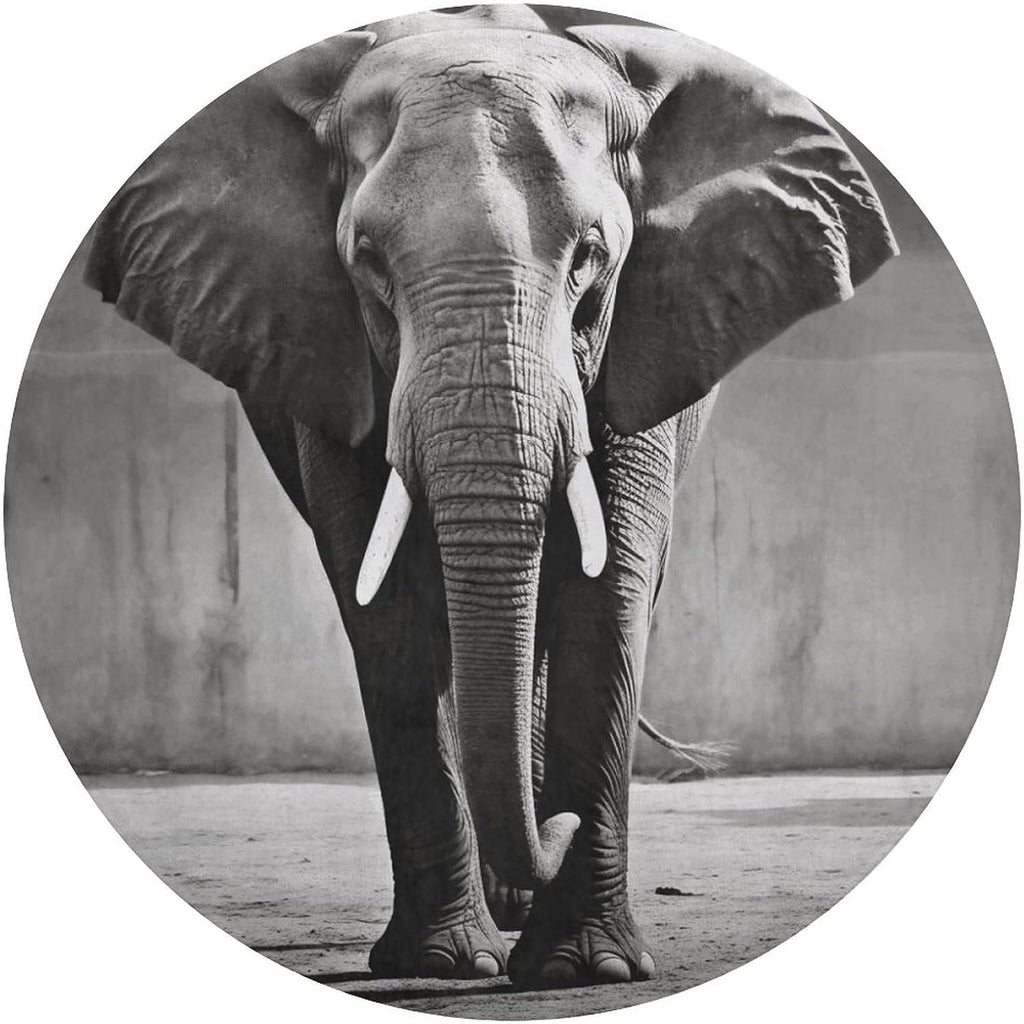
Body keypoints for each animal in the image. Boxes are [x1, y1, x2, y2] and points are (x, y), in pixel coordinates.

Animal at [84, 4, 897, 989]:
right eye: (368, 263)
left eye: (591, 259)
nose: (562, 826)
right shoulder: (324, 351)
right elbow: (384, 602)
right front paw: (443, 962)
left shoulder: (643, 333)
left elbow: (608, 588)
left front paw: (585, 970)